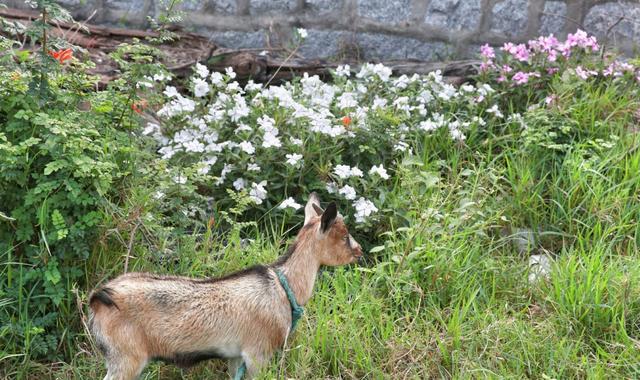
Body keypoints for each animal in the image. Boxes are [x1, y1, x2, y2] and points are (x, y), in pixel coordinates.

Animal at [87, 194, 362, 380]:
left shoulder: (236, 356)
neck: (283, 287)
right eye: (344, 235)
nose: (359, 252)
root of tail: (100, 299)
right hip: (126, 358)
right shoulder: (258, 353)